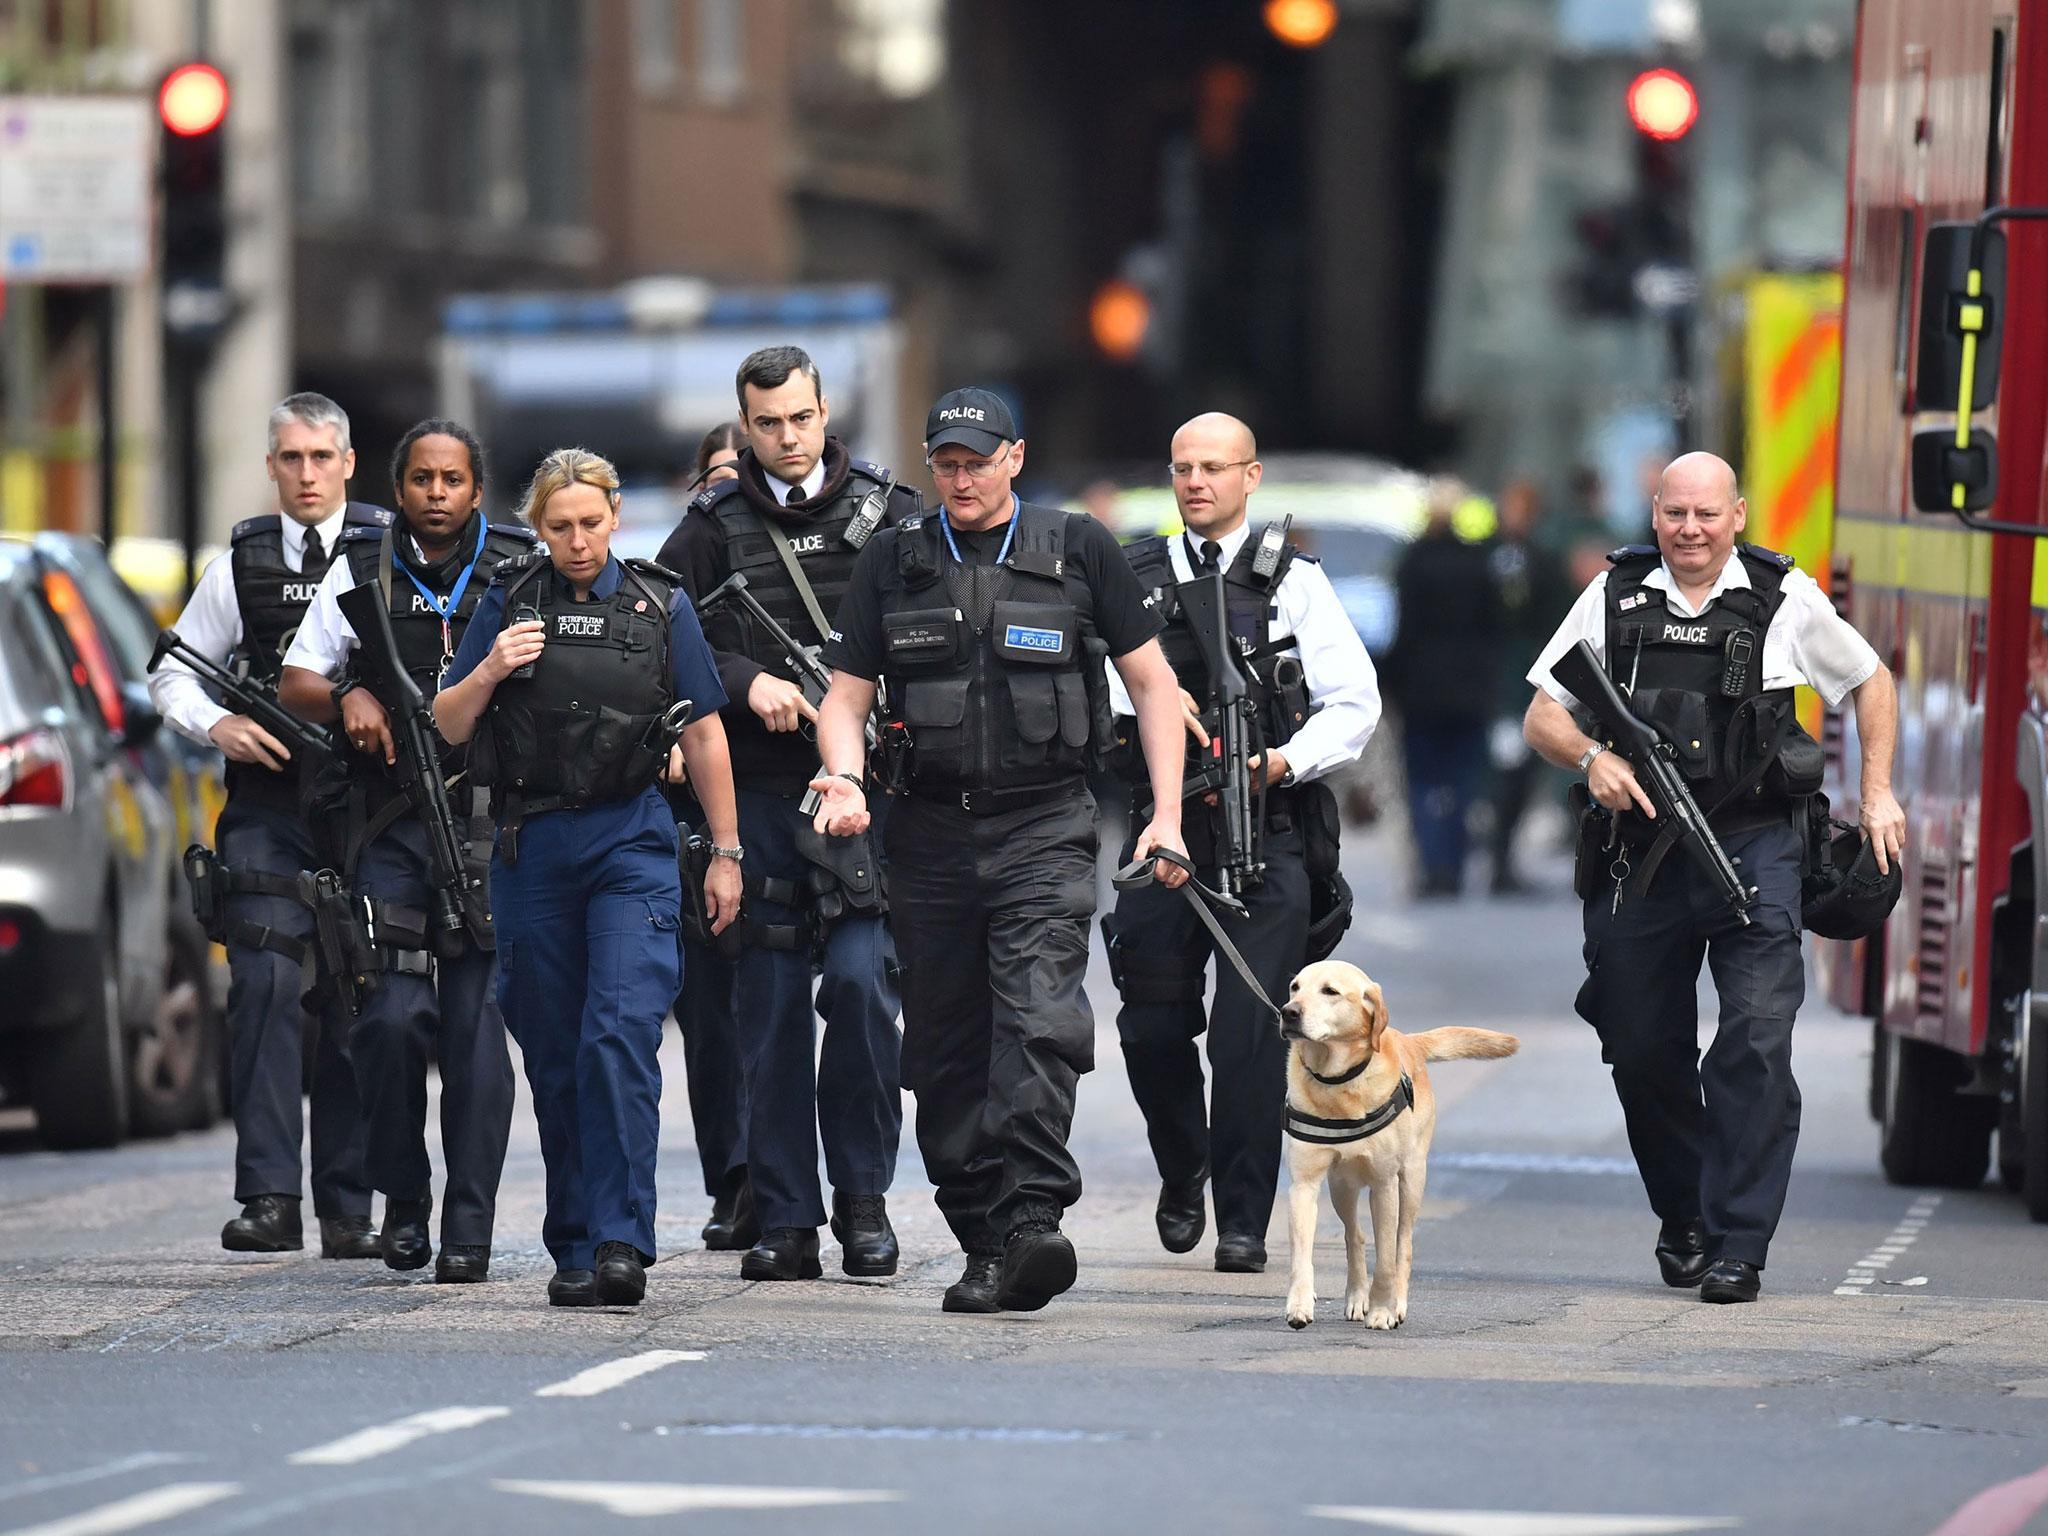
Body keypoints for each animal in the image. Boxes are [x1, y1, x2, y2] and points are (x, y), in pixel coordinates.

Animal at [1286, 962, 1515, 1335]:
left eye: (1330, 991)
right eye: (1295, 987)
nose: (1288, 1012)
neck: (1341, 1083)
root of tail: (1409, 1040)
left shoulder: (1384, 1185)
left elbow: (1386, 1260)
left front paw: (1382, 1310)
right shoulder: (1304, 1184)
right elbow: (1302, 1255)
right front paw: (1299, 1306)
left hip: (1411, 1181)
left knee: (1403, 1244)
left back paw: (1398, 1303)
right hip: (1341, 1187)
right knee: (1354, 1235)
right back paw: (1356, 1297)